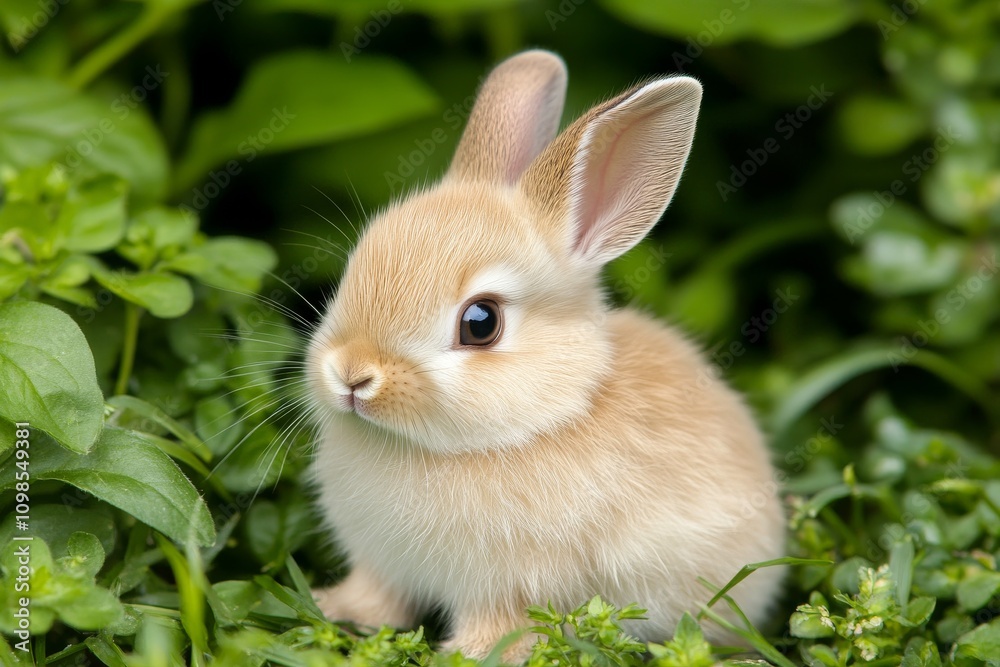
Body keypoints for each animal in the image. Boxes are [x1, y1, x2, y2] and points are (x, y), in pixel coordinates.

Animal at [305, 49, 786, 660]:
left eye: (481, 323)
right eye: (352, 270)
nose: (351, 376)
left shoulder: (505, 590)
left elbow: (500, 628)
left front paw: (466, 656)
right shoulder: (382, 567)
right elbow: (376, 598)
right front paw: (334, 608)